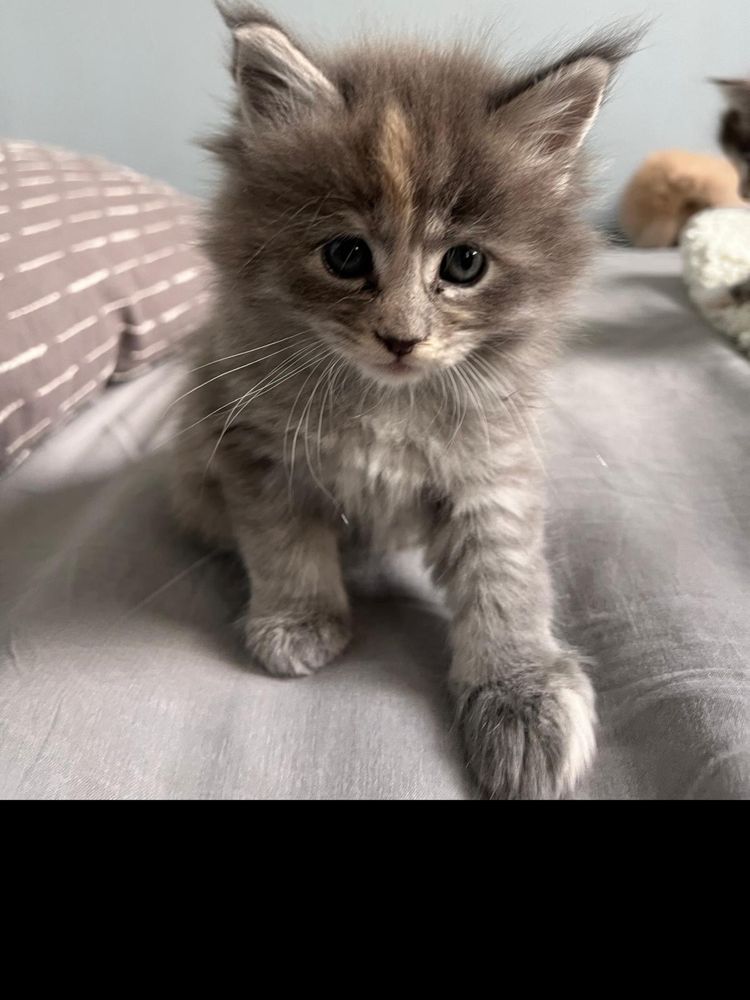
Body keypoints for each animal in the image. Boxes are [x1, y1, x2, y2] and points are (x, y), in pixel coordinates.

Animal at [172, 0, 640, 796]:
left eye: (465, 263)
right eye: (345, 255)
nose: (402, 338)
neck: (386, 406)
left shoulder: (493, 467)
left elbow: (505, 577)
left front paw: (521, 694)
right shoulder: (254, 443)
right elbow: (283, 544)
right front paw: (297, 621)